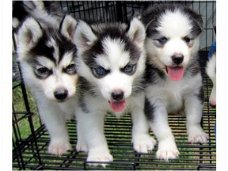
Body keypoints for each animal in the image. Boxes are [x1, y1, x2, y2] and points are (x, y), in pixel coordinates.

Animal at [16, 12, 78, 155]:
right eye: (42, 70)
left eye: (71, 66)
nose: (61, 94)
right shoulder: (47, 104)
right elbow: (55, 125)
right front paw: (59, 145)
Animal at [142, 4, 209, 161]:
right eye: (162, 39)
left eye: (187, 39)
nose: (178, 58)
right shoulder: (154, 100)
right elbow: (162, 128)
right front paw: (167, 149)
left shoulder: (194, 92)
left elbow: (194, 117)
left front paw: (196, 134)